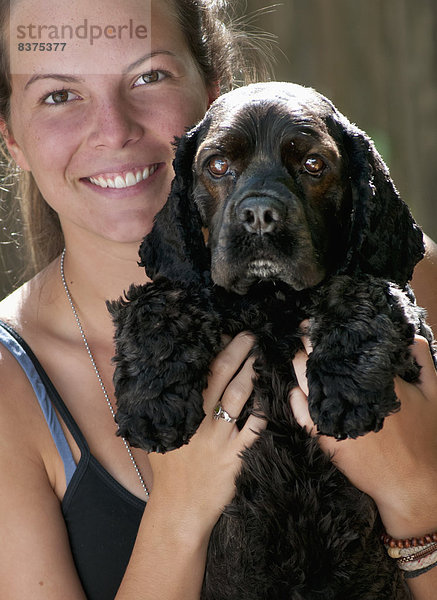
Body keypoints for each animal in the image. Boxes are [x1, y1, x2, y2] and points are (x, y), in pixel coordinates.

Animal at [107, 84, 434, 600]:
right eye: (217, 164)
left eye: (314, 164)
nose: (259, 215)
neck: (272, 303)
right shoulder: (189, 287)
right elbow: (159, 299)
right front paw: (153, 407)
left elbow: (364, 288)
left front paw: (347, 394)